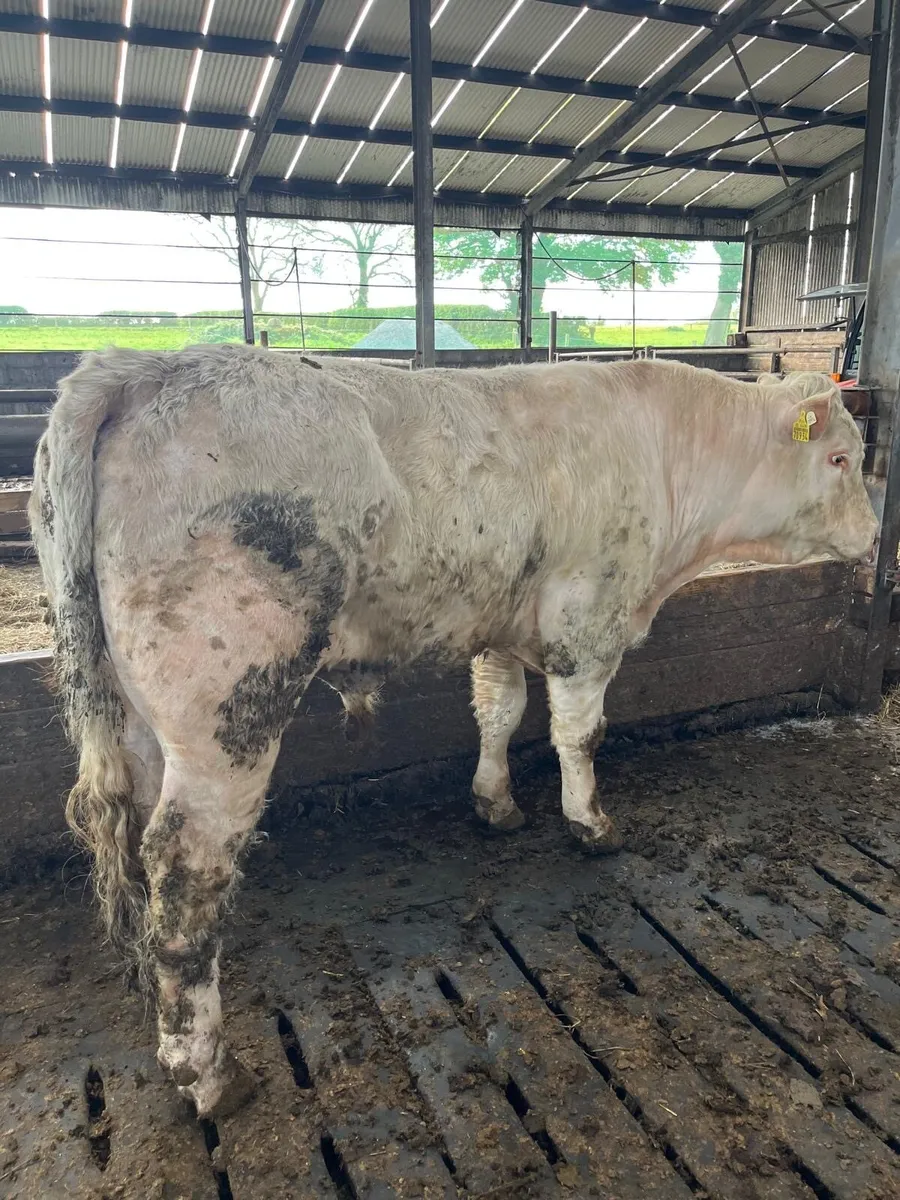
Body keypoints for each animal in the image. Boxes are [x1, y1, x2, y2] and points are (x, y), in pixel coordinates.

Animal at [30, 345, 877, 1118]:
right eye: (839, 458)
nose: (873, 536)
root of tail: (140, 368)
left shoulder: (502, 624)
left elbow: (499, 711)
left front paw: (495, 804)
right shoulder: (587, 621)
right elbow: (581, 732)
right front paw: (592, 824)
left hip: (137, 714)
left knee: (140, 839)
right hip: (229, 709)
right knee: (186, 871)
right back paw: (208, 1072)